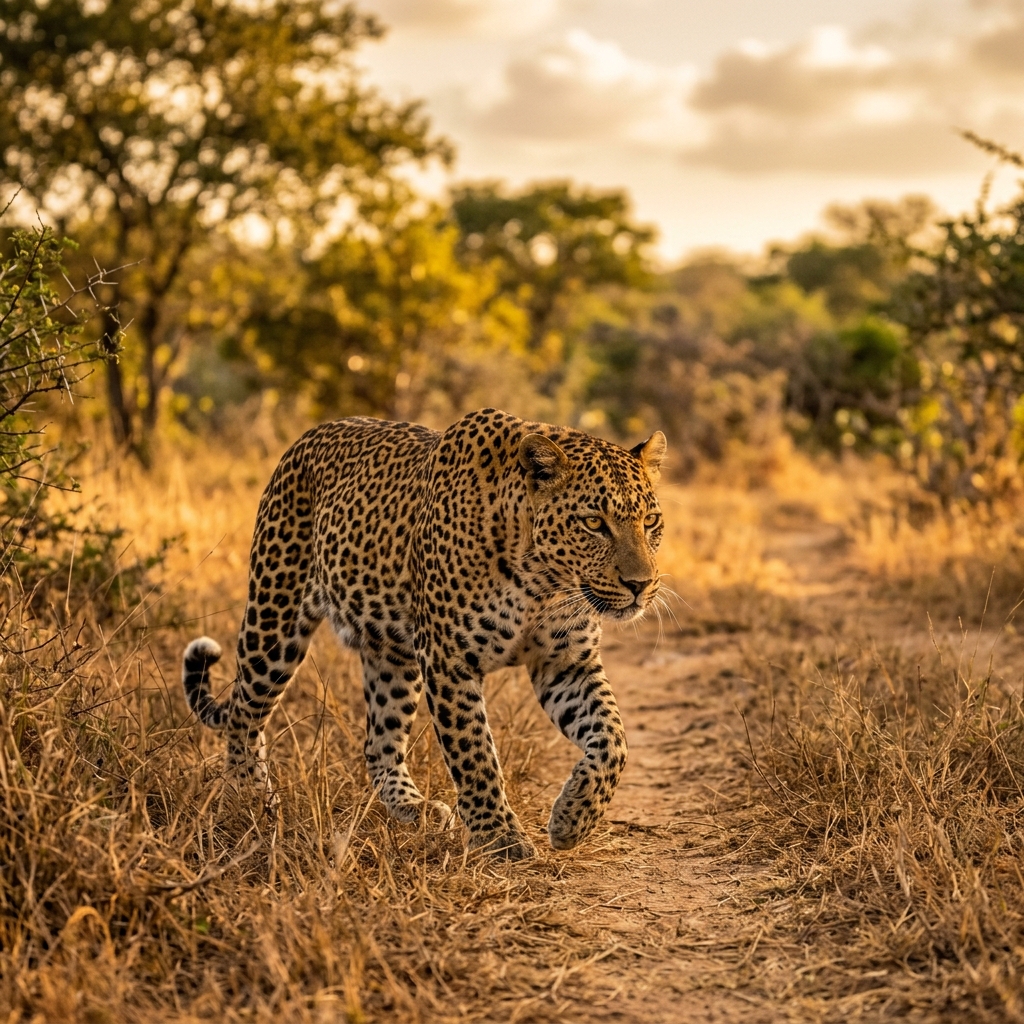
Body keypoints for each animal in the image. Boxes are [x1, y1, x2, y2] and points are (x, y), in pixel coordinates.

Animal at [182, 408, 667, 860]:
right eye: (593, 523)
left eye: (651, 521)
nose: (641, 585)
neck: (544, 582)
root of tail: (307, 436)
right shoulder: (449, 659)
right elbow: (474, 753)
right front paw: (500, 838)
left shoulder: (566, 663)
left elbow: (613, 739)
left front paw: (572, 819)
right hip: (275, 619)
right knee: (244, 712)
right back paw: (249, 799)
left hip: (393, 656)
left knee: (378, 743)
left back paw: (414, 808)